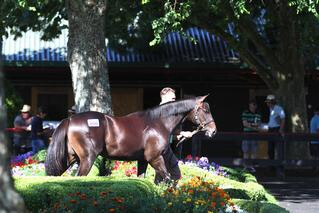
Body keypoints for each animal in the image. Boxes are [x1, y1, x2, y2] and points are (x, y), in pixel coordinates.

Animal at [45, 95, 218, 182]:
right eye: (205, 110)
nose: (213, 131)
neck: (157, 122)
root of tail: (70, 119)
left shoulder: (143, 160)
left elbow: (142, 179)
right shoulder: (155, 158)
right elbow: (167, 178)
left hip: (70, 157)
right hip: (87, 159)